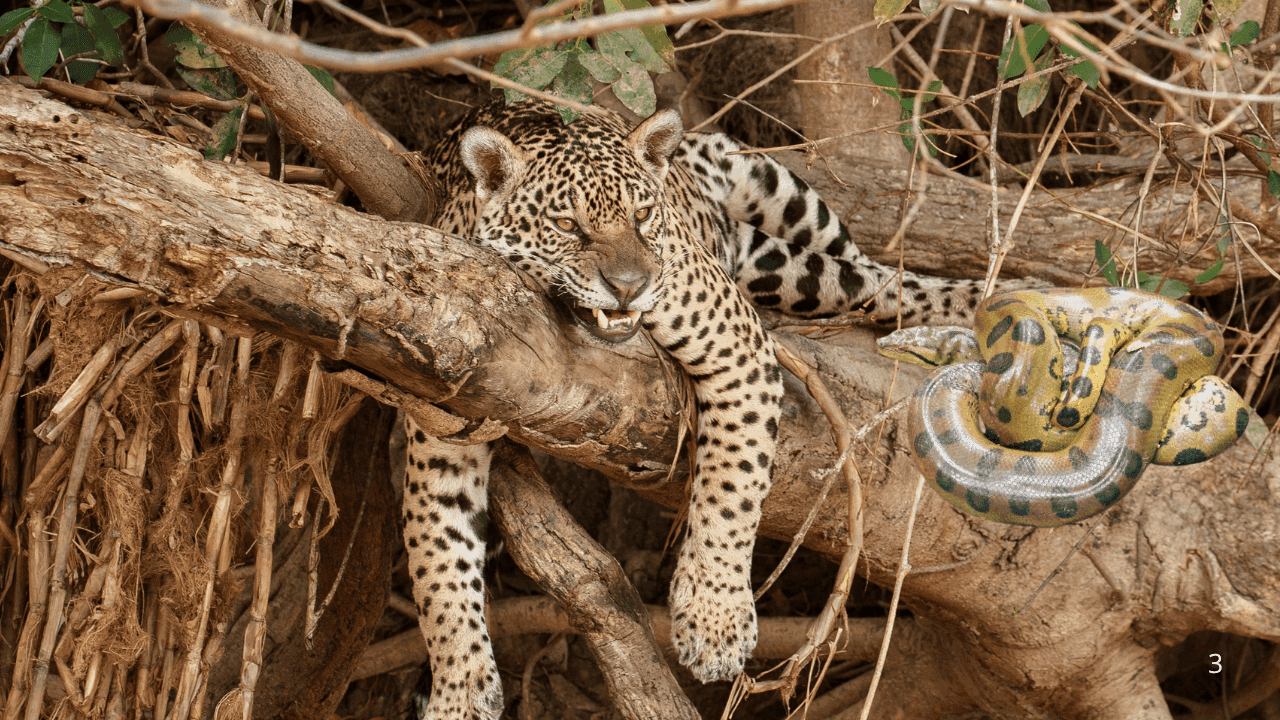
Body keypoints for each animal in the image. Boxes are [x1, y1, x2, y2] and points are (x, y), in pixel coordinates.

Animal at [403, 98, 989, 719]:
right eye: (566, 226)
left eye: (641, 215)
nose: (629, 286)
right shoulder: (443, 416)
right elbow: (435, 557)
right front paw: (457, 688)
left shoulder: (738, 347)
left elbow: (734, 484)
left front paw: (715, 622)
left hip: (779, 197)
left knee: (872, 273)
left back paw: (978, 303)